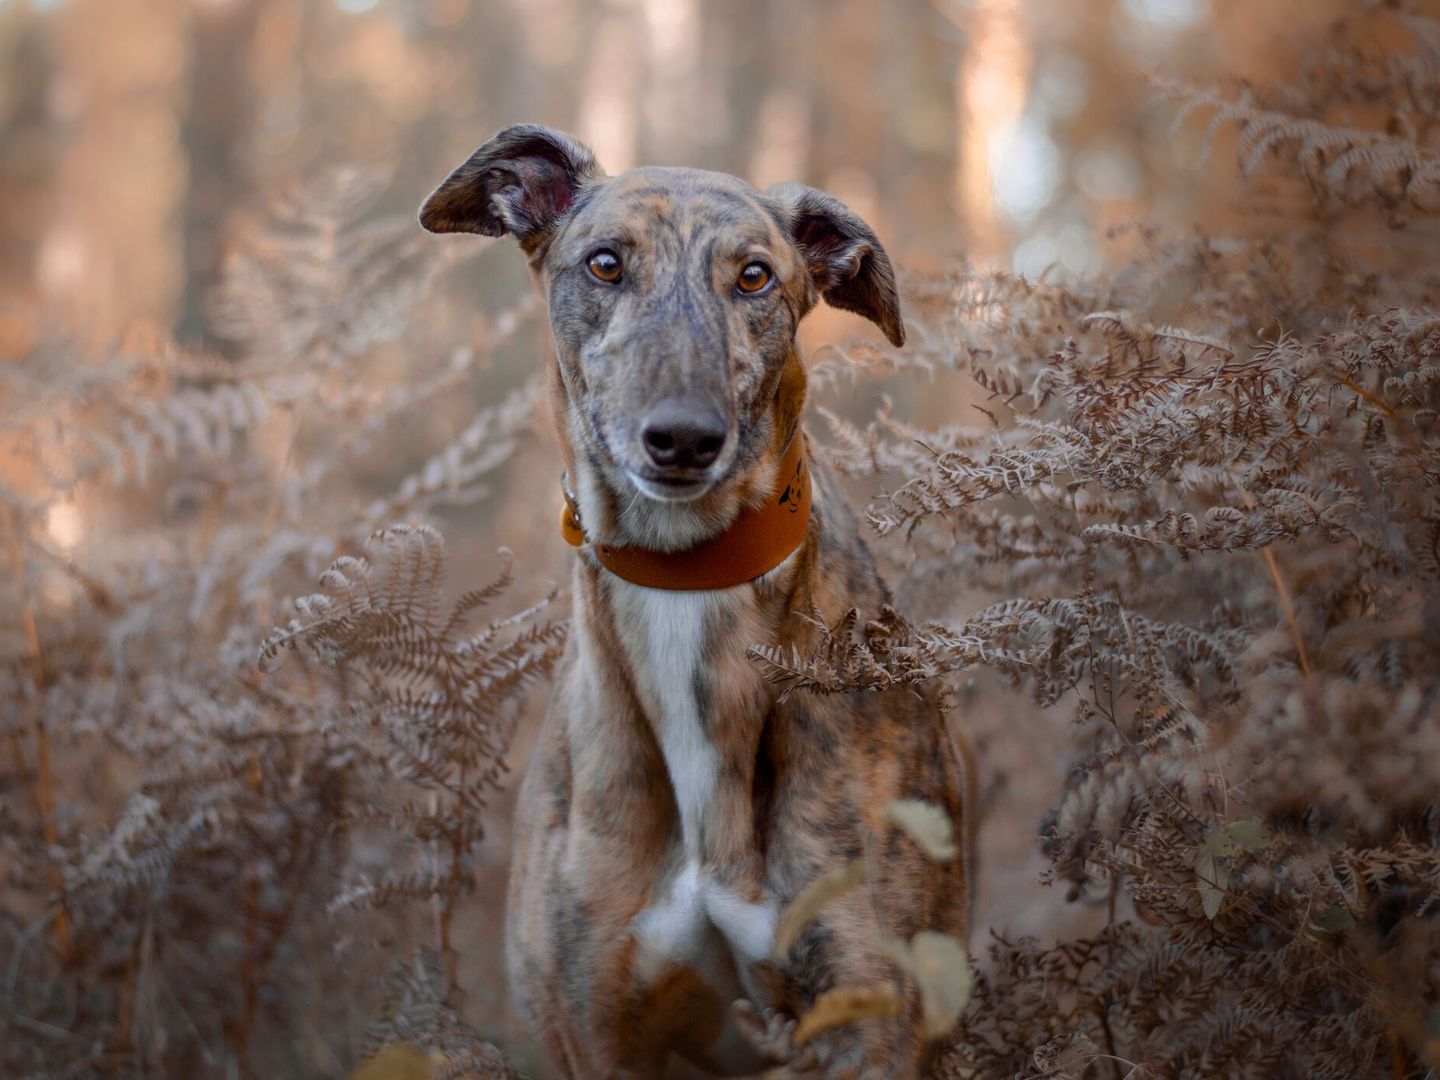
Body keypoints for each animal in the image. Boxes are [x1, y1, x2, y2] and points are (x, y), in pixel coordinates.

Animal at [423, 124, 967, 1077]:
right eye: (604, 263)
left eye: (754, 276)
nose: (682, 438)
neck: (688, 590)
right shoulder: (596, 1030)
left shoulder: (870, 1019)